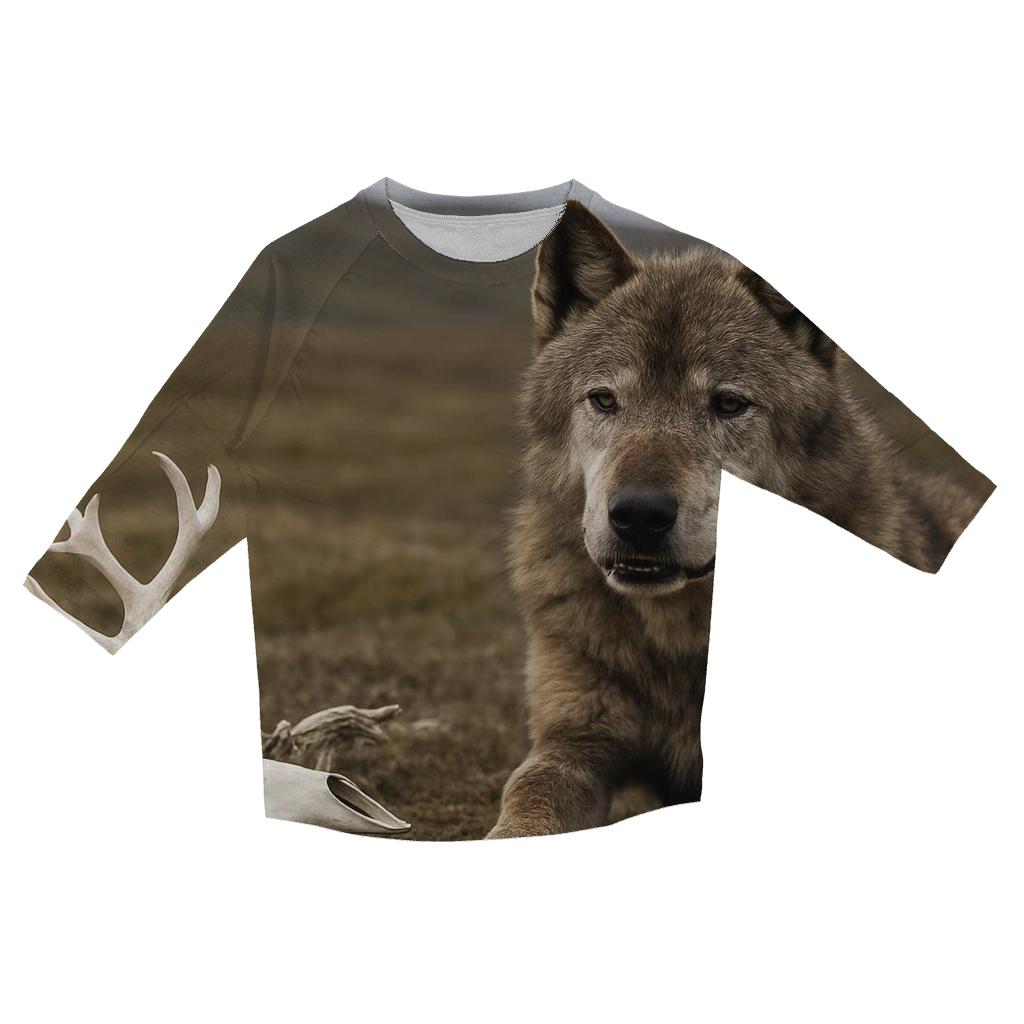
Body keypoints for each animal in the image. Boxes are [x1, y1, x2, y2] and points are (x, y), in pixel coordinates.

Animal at [487, 201, 987, 839]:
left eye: (728, 404)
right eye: (604, 400)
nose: (639, 514)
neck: (681, 641)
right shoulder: (573, 741)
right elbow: (527, 799)